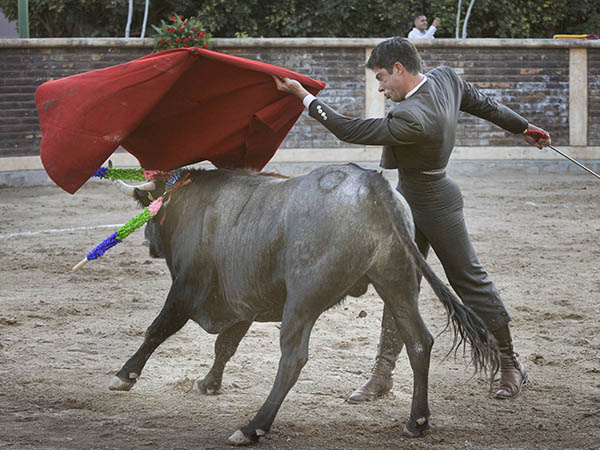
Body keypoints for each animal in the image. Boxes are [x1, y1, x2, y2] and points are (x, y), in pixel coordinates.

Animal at [108, 163, 496, 444]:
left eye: (153, 212)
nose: (148, 242)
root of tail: (373, 184)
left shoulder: (187, 288)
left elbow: (159, 329)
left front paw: (125, 376)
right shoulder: (242, 302)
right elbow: (226, 346)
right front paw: (209, 383)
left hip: (303, 299)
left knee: (293, 358)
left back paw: (253, 427)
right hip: (397, 284)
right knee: (418, 342)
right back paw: (417, 421)